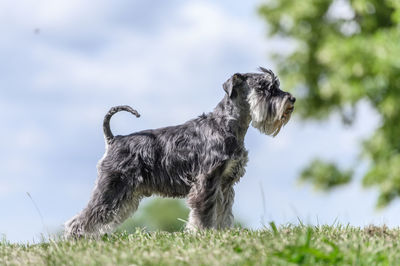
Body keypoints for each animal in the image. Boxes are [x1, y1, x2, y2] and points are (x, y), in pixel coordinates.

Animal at [65, 67, 294, 238]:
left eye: (275, 86)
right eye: (264, 88)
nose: (291, 99)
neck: (227, 125)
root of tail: (114, 139)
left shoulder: (225, 183)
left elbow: (223, 212)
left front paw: (222, 234)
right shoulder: (207, 181)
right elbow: (204, 212)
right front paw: (203, 234)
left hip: (125, 196)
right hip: (111, 187)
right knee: (82, 218)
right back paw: (76, 239)